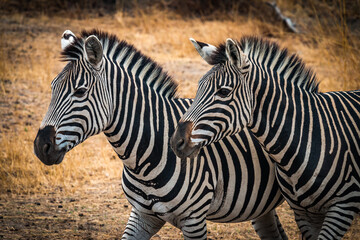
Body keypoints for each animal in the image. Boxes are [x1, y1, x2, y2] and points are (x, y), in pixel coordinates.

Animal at [32, 29, 288, 239]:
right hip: (260, 204)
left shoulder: (194, 220)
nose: (40, 146)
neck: (143, 159)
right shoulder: (142, 215)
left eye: (80, 91)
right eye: (52, 87)